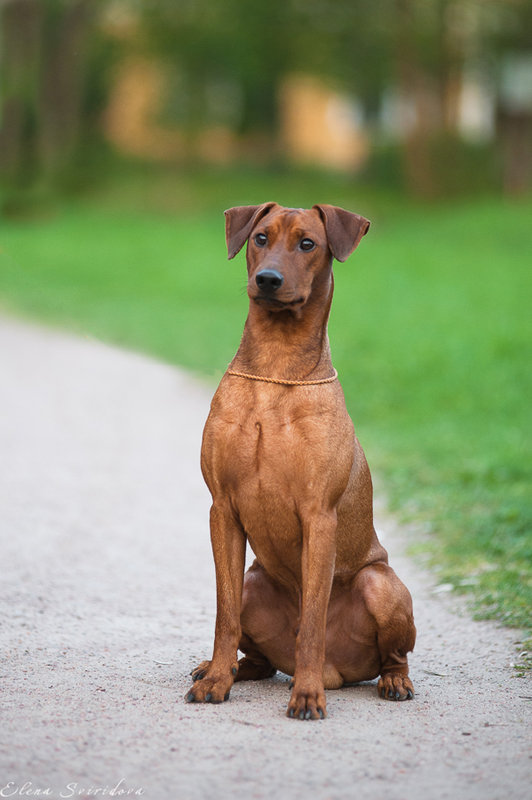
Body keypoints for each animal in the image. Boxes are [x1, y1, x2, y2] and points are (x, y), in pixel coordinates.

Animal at [186, 202, 416, 720]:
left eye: (308, 243)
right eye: (260, 238)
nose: (268, 280)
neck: (276, 365)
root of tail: (339, 672)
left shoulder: (319, 516)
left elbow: (312, 619)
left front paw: (307, 696)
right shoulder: (221, 510)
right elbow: (223, 614)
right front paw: (215, 680)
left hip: (381, 584)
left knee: (393, 655)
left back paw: (389, 681)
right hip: (254, 583)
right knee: (256, 657)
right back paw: (222, 668)